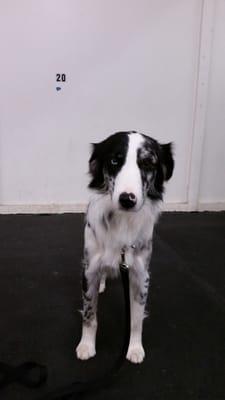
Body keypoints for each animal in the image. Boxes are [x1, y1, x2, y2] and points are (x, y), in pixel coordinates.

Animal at [75, 130, 174, 362]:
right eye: (114, 161)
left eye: (147, 163)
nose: (127, 199)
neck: (122, 222)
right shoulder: (89, 269)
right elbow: (89, 314)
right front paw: (86, 345)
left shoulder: (140, 274)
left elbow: (136, 319)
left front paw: (135, 348)